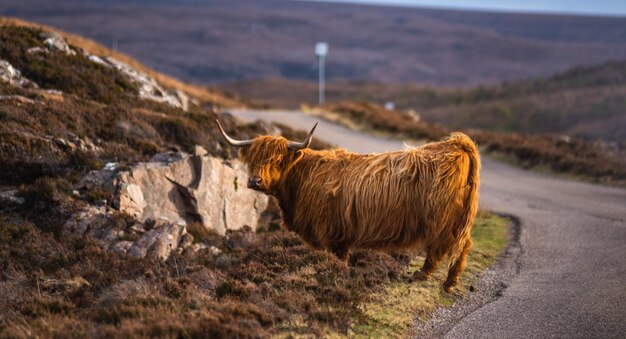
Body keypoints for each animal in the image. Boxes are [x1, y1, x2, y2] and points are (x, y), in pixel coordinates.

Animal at [217, 121, 480, 294]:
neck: (300, 181)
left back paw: (424, 277)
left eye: (277, 160)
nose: (254, 181)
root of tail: (457, 144)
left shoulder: (333, 234)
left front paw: (336, 279)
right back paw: (450, 282)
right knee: (464, 246)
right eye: (253, 159)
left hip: (443, 220)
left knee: (441, 248)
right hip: (460, 220)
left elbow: (339, 261)